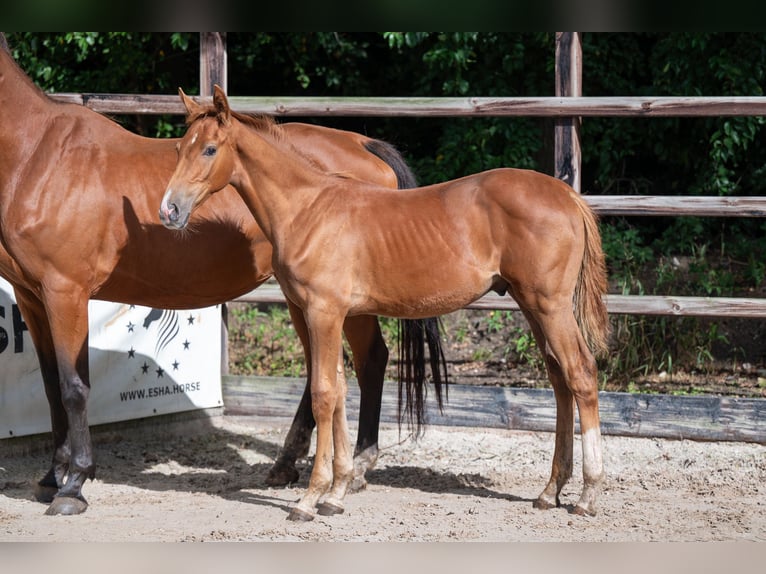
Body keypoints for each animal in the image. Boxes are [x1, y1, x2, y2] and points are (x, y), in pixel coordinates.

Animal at [160, 84, 612, 520]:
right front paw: (336, 492)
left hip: (550, 305)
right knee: (559, 378)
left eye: (210, 149)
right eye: (179, 149)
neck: (308, 210)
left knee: (581, 373)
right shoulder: (323, 314)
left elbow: (323, 393)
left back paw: (588, 494)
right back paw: (550, 491)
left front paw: (310, 499)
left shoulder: (323, 312)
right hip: (532, 305)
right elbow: (339, 390)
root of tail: (568, 196)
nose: (169, 211)